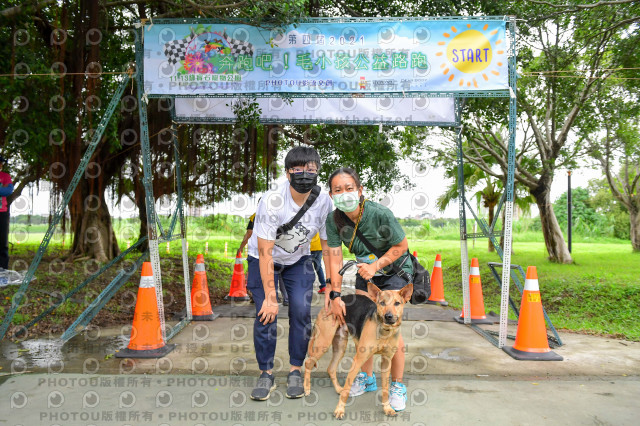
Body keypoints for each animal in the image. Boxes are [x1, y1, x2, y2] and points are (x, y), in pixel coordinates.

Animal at [302, 282, 412, 420]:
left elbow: (386, 389)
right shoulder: (358, 359)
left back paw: (338, 389)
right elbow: (347, 390)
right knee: (308, 363)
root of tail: (328, 305)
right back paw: (307, 388)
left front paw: (387, 408)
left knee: (330, 368)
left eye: (397, 303)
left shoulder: (386, 362)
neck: (385, 331)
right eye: (382, 303)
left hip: (340, 346)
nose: (389, 317)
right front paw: (339, 410)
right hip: (324, 342)